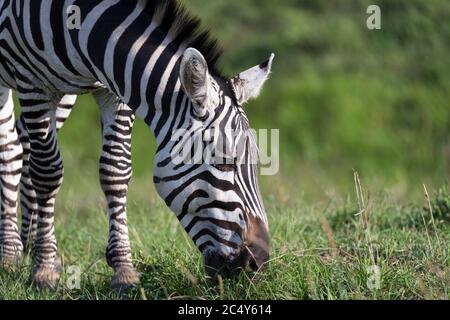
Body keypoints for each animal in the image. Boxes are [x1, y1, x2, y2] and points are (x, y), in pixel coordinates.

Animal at [0, 0, 274, 290]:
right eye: (224, 163)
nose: (258, 264)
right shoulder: (32, 83)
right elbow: (48, 173)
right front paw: (44, 270)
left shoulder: (113, 89)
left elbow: (115, 172)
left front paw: (123, 270)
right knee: (11, 151)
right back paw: (9, 253)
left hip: (63, 93)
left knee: (21, 147)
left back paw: (26, 244)